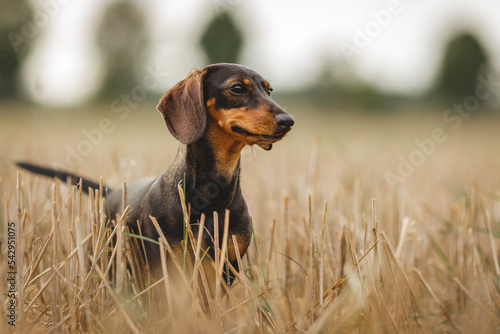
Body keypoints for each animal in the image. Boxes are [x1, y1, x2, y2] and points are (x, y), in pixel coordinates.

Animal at [17, 62, 294, 282]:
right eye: (237, 88)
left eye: (269, 90)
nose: (288, 121)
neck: (211, 194)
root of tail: (112, 191)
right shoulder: (168, 267)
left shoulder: (226, 268)